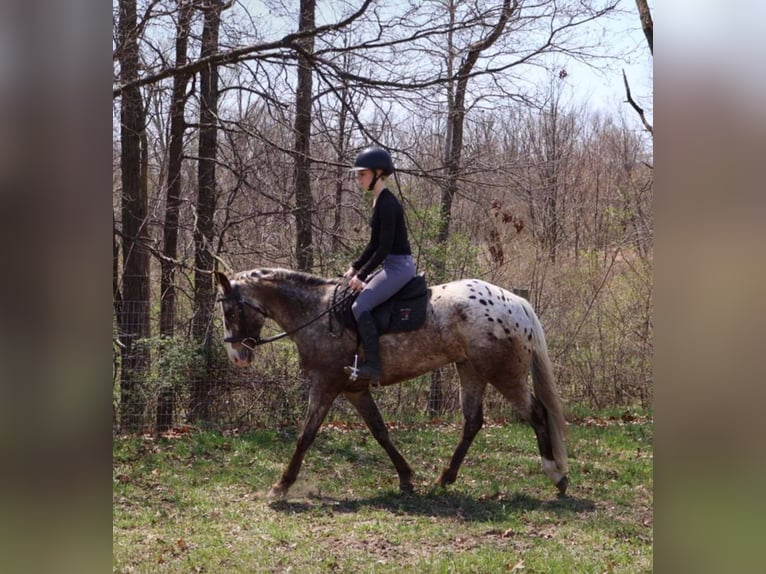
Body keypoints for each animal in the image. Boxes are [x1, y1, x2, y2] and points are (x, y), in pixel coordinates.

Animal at [214, 268, 569, 498]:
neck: (317, 313)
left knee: (536, 414)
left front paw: (281, 486)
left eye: (231, 311)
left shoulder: (326, 384)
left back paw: (556, 474)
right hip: (471, 371)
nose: (236, 356)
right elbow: (380, 431)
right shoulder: (354, 390)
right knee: (472, 423)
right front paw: (406, 477)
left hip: (503, 375)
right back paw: (445, 479)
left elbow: (306, 435)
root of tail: (516, 303)